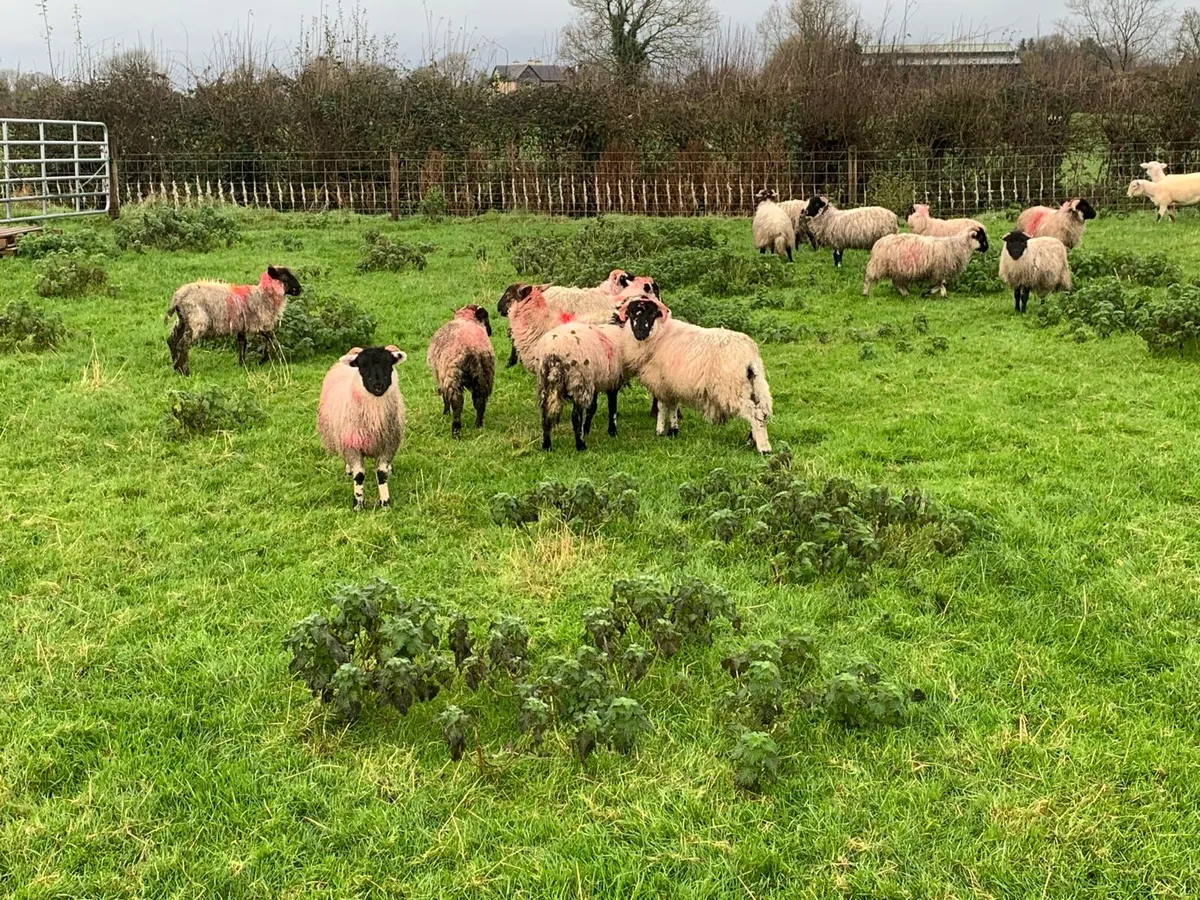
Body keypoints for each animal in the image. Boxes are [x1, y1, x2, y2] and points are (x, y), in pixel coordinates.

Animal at [165, 265, 302, 375]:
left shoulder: (242, 325)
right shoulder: (259, 324)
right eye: (284, 276)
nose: (299, 289)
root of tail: (178, 297)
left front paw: (243, 364)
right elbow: (272, 339)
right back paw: (184, 370)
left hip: (183, 320)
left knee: (172, 340)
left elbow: (242, 343)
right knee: (183, 343)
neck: (262, 295)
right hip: (197, 320)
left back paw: (175, 366)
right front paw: (265, 360)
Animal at [317, 346, 407, 510]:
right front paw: (358, 504)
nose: (378, 385)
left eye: (388, 364)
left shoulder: (388, 445)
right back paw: (348, 470)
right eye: (362, 366)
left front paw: (385, 503)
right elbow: (359, 475)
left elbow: (381, 474)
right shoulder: (351, 446)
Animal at [426, 305, 495, 438]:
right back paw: (478, 425)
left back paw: (456, 432)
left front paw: (445, 413)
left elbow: (443, 395)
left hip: (452, 376)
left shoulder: (440, 375)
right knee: (480, 401)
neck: (466, 319)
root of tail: (472, 350)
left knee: (457, 403)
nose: (490, 331)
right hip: (485, 375)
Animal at [534, 320, 626, 451]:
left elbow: (592, 407)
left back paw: (547, 445)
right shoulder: (612, 380)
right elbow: (612, 407)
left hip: (544, 382)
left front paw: (586, 429)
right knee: (575, 416)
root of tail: (554, 352)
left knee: (545, 414)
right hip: (579, 381)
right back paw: (581, 445)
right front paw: (612, 431)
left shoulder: (594, 382)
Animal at [615, 297, 774, 454]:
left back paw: (763, 448)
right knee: (762, 411)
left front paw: (660, 431)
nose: (640, 332)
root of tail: (750, 356)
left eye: (652, 313)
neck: (660, 334)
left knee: (755, 414)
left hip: (731, 387)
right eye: (632, 313)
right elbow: (673, 407)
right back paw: (751, 441)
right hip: (755, 384)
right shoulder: (671, 383)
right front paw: (673, 430)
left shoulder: (660, 383)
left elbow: (662, 407)